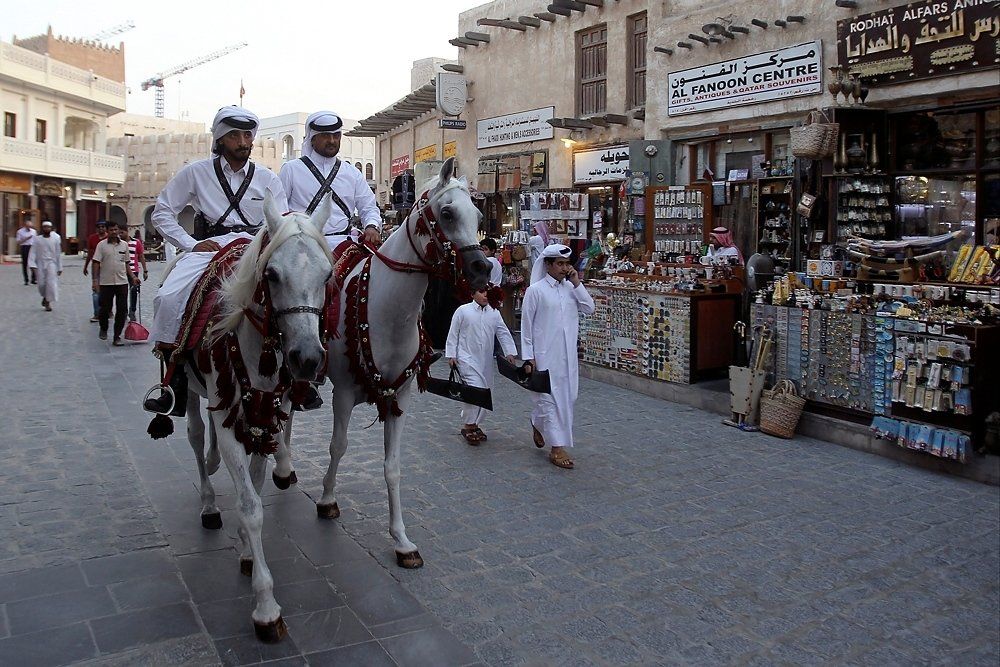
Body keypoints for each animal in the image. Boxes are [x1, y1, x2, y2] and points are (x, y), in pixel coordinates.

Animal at [181, 197, 336, 640]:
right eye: (272, 274)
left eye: (327, 274)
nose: (307, 358)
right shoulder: (229, 422)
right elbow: (251, 507)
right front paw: (265, 605)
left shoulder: (264, 413)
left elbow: (256, 479)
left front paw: (247, 551)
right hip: (191, 392)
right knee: (196, 436)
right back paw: (208, 504)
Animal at [276, 157, 490, 568]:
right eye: (447, 212)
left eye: (479, 215)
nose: (481, 269)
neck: (387, 312)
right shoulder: (343, 394)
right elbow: (338, 446)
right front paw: (327, 500)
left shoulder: (399, 398)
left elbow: (393, 468)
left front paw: (402, 541)